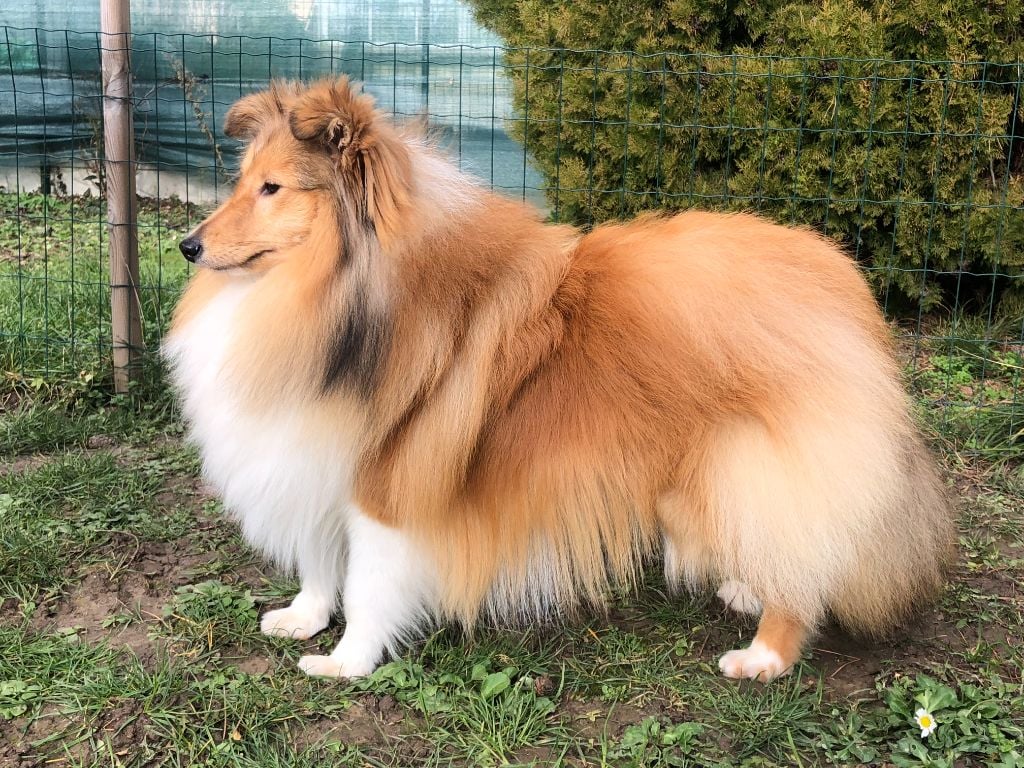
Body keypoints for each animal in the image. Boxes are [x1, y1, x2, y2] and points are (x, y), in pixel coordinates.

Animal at [164, 77, 955, 682]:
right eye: (240, 182)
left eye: (272, 189)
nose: (187, 246)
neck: (334, 298)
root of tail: (839, 278)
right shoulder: (313, 461)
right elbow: (321, 562)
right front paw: (303, 620)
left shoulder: (388, 482)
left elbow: (369, 586)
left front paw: (346, 663)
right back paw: (741, 586)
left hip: (751, 460)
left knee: (801, 562)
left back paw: (763, 656)